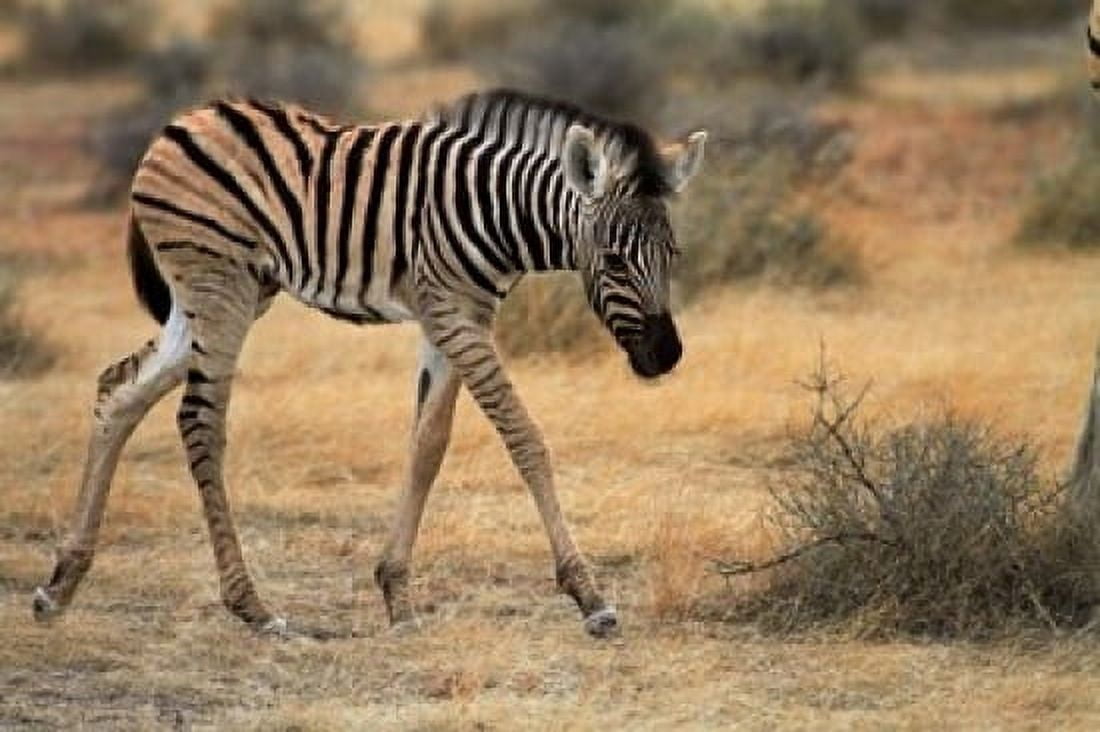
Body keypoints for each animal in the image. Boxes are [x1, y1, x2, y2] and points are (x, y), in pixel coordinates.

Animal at [31, 89, 706, 638]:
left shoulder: (454, 317)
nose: (666, 355)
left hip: (219, 297)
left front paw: (396, 596)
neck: (496, 212)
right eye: (614, 260)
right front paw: (588, 596)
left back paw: (60, 584)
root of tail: (179, 123)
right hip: (220, 285)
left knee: (119, 391)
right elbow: (523, 437)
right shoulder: (455, 316)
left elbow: (428, 444)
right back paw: (253, 608)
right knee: (198, 420)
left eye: (673, 253)